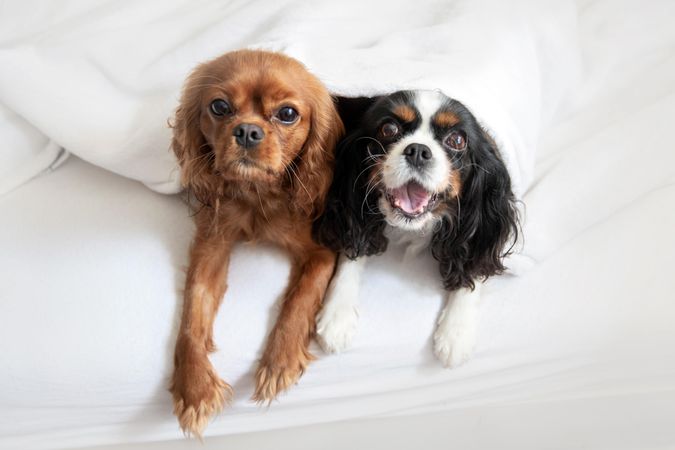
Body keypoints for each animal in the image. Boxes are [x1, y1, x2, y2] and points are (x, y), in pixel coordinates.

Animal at [169, 49, 344, 436]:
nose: (248, 131)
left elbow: (300, 297)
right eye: (219, 107)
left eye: (287, 113)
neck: (255, 194)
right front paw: (194, 388)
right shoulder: (212, 245)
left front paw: (280, 362)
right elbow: (191, 315)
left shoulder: (322, 251)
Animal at [314, 89, 520, 368]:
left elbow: (474, 264)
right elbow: (353, 250)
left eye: (457, 140)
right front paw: (337, 314)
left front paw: (456, 332)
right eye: (389, 129)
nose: (418, 151)